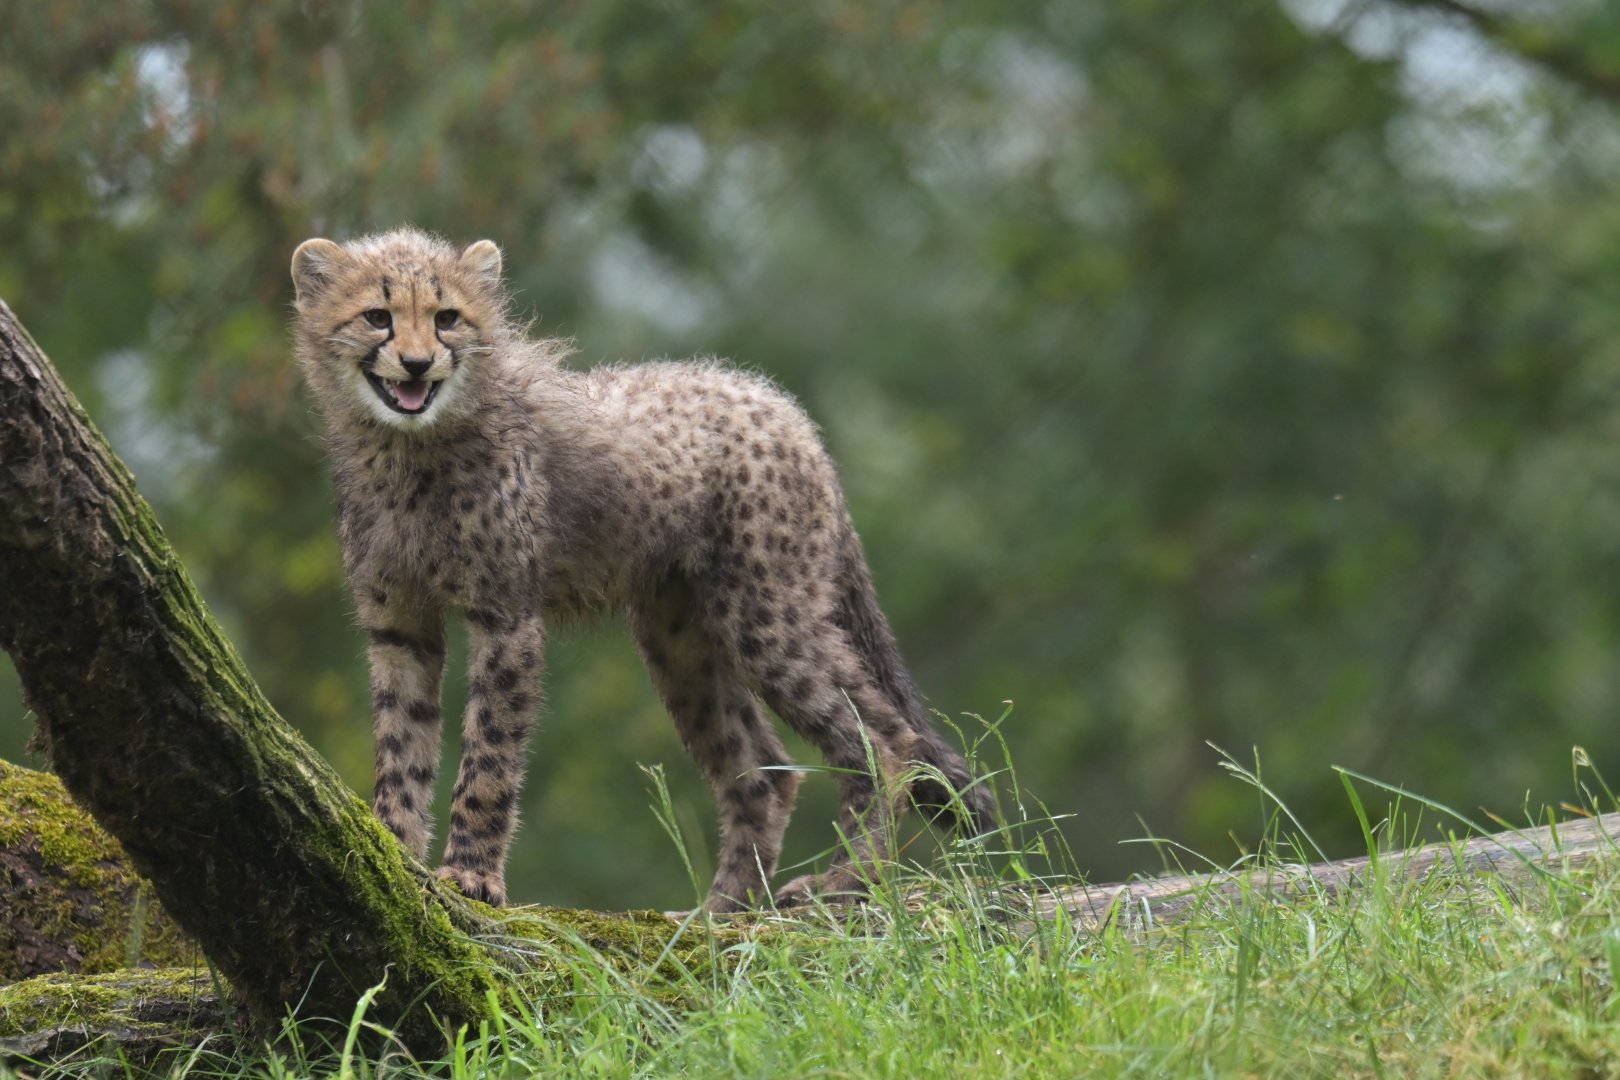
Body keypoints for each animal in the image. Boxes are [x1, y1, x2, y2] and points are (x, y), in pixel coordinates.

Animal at [289, 227, 994, 910]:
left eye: (447, 319)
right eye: (378, 317)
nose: (416, 363)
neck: (405, 448)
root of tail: (782, 408)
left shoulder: (506, 619)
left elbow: (489, 757)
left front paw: (470, 875)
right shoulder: (400, 628)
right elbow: (401, 747)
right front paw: (390, 853)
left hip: (766, 614)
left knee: (885, 741)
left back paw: (846, 883)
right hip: (679, 637)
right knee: (763, 771)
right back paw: (721, 911)